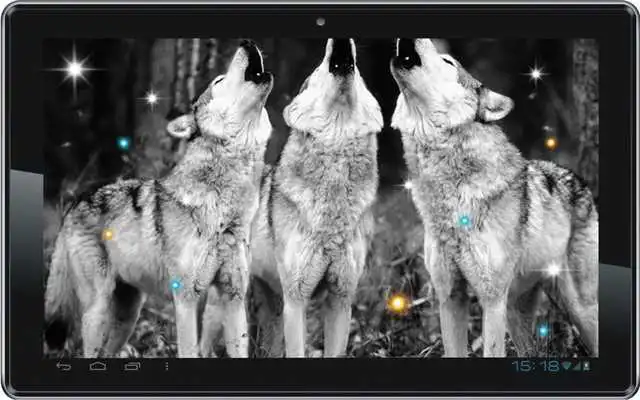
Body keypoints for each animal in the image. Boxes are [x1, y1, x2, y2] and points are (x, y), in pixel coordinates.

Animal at [44, 40, 274, 358]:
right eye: (218, 80)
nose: (247, 42)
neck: (223, 213)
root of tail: (75, 204)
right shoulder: (186, 298)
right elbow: (189, 350)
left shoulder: (233, 298)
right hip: (97, 312)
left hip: (128, 317)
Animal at [238, 38, 383, 357]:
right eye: (317, 68)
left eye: (359, 73)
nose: (340, 40)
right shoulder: (297, 300)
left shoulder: (341, 300)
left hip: (270, 308)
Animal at [389, 38, 598, 357]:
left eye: (448, 62)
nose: (415, 38)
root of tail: (579, 179)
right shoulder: (450, 297)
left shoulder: (491, 300)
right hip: (516, 314)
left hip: (579, 309)